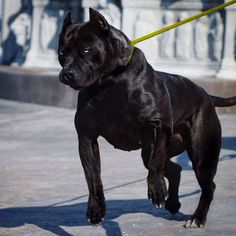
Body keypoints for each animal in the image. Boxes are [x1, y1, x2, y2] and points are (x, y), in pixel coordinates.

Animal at [58, 9, 236, 229]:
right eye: (61, 53)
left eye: (85, 50)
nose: (67, 73)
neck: (110, 81)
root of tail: (205, 94)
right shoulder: (86, 138)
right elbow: (92, 177)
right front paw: (96, 209)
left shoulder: (160, 125)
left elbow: (156, 162)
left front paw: (157, 190)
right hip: (154, 150)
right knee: (176, 169)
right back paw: (173, 203)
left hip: (202, 155)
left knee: (207, 185)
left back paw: (197, 217)